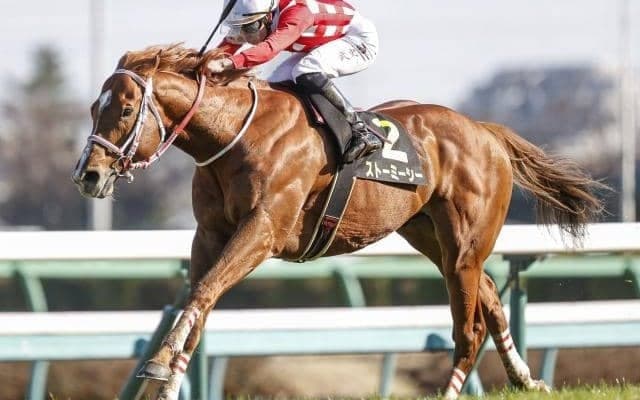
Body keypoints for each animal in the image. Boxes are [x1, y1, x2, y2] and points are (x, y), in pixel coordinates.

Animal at [72, 44, 604, 399]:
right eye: (94, 108)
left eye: (124, 109)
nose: (88, 175)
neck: (234, 136)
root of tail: (485, 131)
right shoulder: (209, 235)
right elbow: (197, 302)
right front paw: (166, 375)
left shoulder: (263, 230)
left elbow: (203, 292)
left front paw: (159, 368)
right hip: (430, 235)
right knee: (491, 298)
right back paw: (526, 378)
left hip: (464, 243)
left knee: (468, 327)